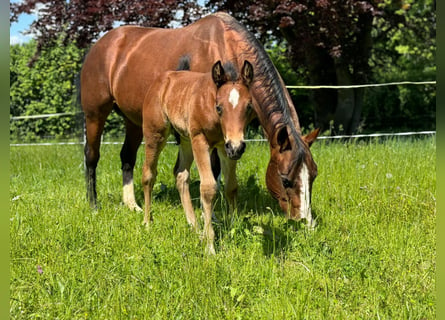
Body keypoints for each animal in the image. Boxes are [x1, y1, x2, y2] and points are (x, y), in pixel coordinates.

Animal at [80, 11, 320, 225]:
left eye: (314, 176)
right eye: (285, 179)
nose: (306, 223)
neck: (224, 47)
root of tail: (102, 44)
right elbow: (212, 172)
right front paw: (210, 216)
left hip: (135, 121)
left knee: (127, 156)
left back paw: (133, 205)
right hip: (95, 114)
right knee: (92, 155)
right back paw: (93, 206)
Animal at [142, 58, 253, 252]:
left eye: (248, 107)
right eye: (219, 107)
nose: (237, 147)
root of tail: (160, 81)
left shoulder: (224, 147)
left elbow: (231, 186)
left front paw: (234, 227)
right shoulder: (200, 140)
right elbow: (208, 188)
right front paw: (210, 246)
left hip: (186, 140)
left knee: (181, 175)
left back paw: (195, 228)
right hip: (156, 135)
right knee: (149, 174)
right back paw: (147, 222)